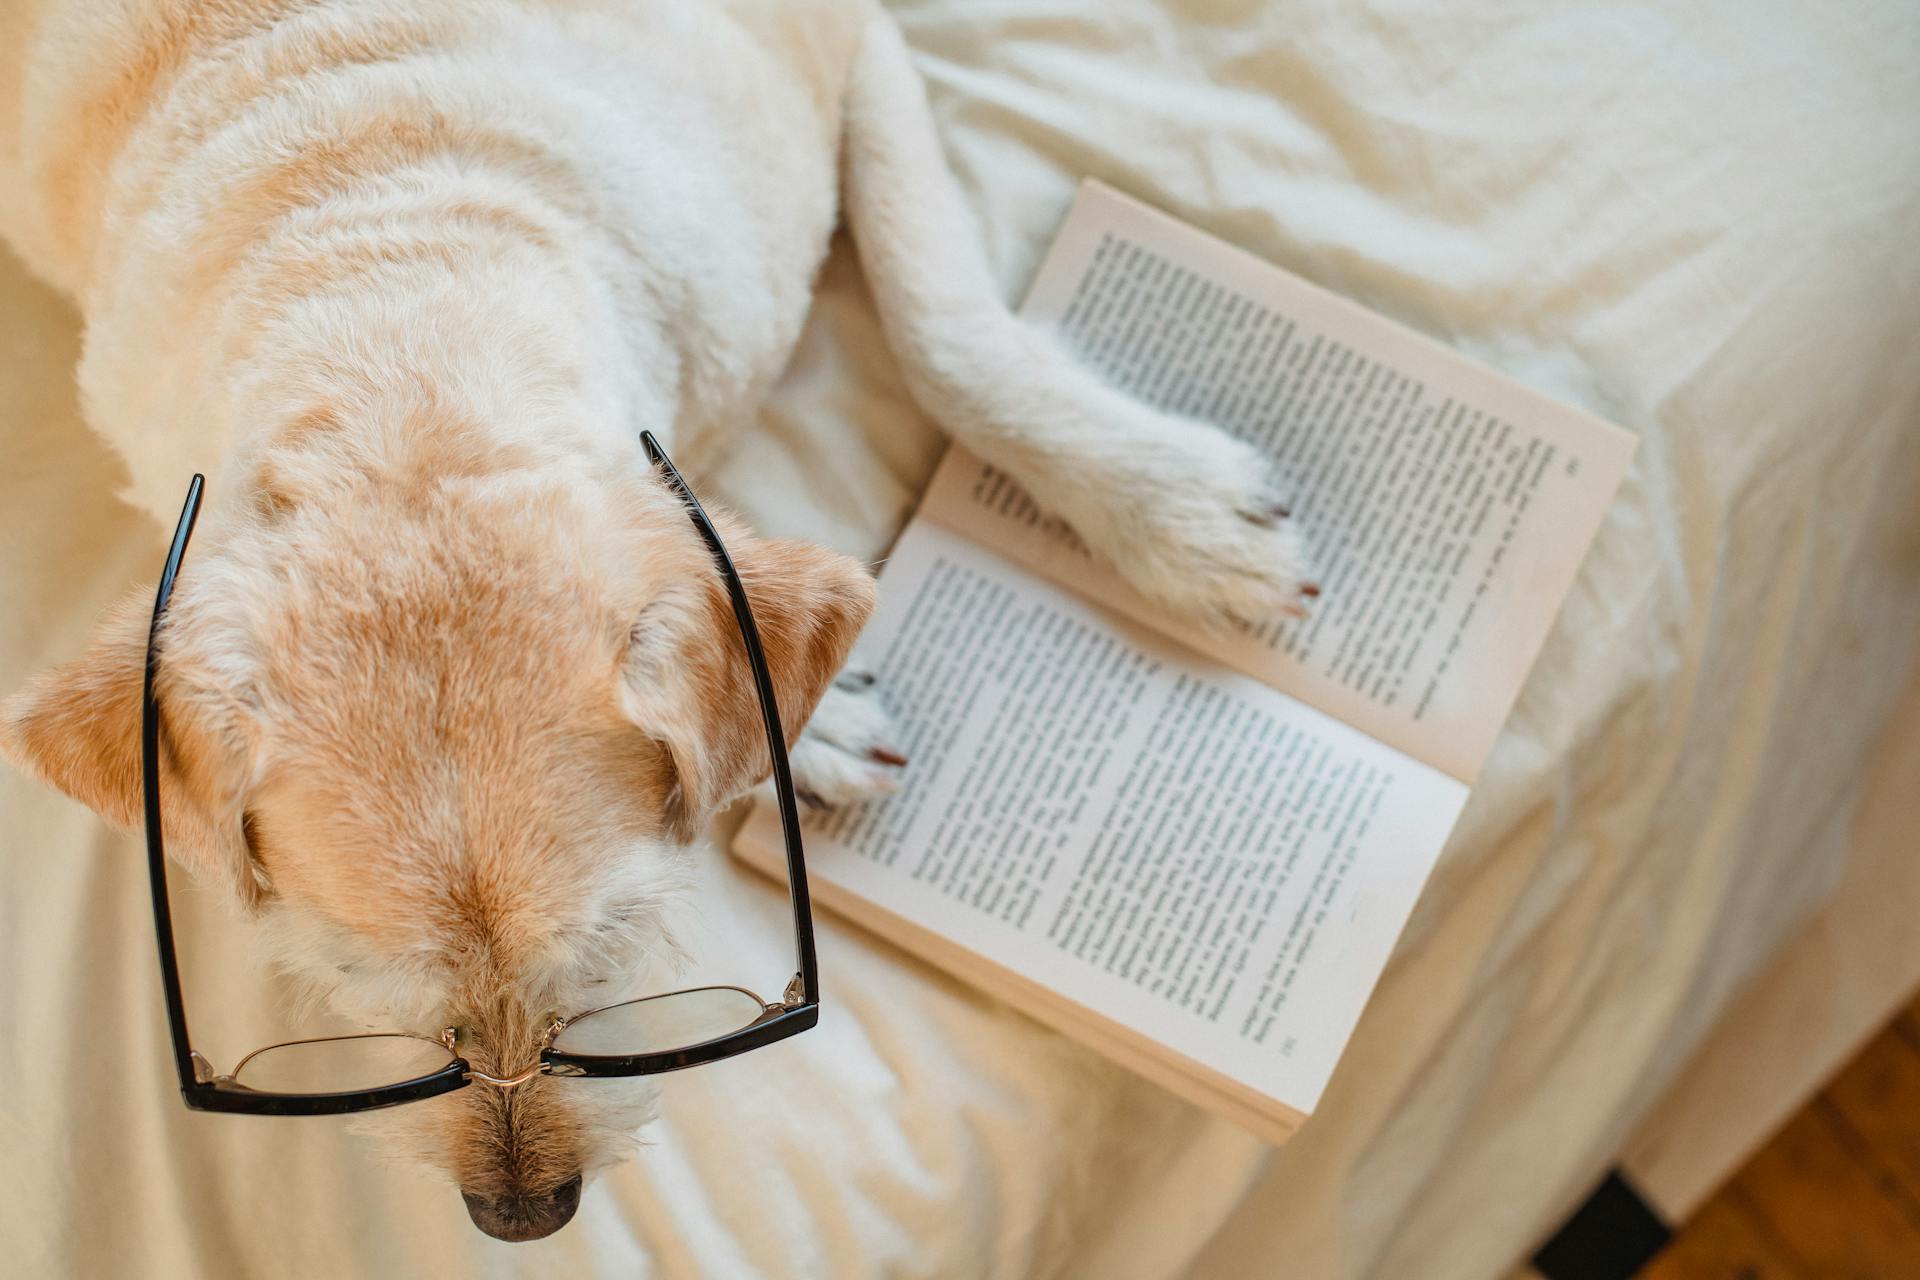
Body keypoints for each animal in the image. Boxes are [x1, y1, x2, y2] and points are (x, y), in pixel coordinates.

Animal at [0, 0, 1313, 1243]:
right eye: (350, 975)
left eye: (608, 953)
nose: (521, 1217)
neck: (394, 305)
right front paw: (813, 733)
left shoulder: (850, 51)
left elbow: (943, 329)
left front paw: (1175, 510)